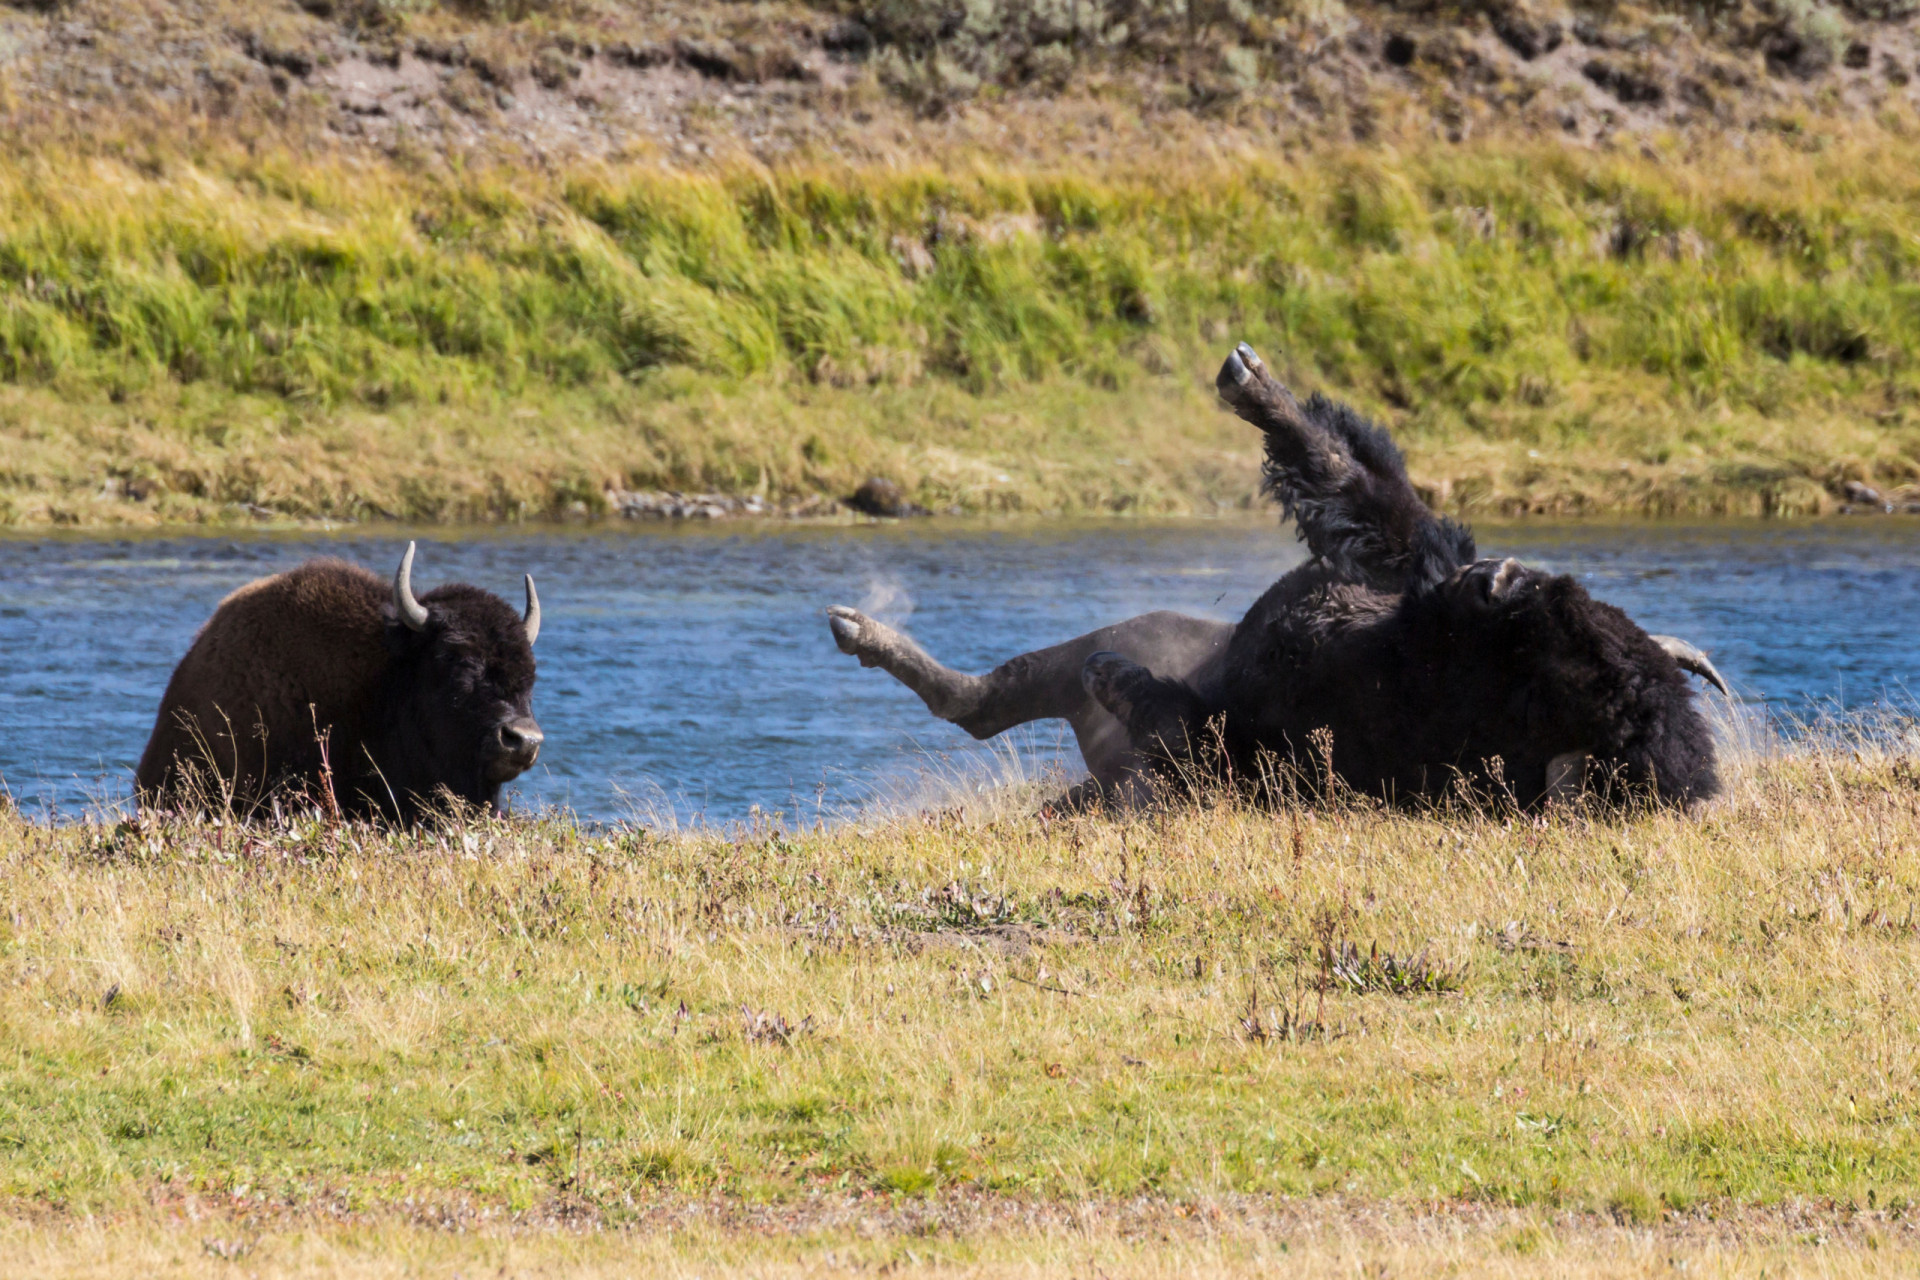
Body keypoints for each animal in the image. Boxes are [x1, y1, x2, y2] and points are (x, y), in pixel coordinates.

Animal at [825, 345, 1728, 805]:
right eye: (1577, 614)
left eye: (1566, 653)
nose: (1498, 579)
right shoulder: (1400, 567)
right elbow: (1360, 483)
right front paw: (1255, 381)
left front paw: (1116, 677)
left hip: (1137, 651)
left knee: (985, 702)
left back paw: (862, 630)